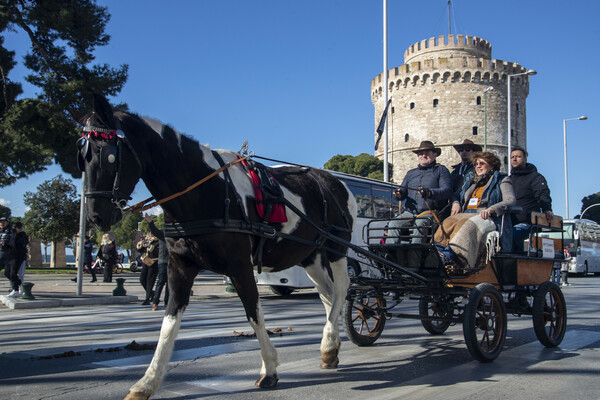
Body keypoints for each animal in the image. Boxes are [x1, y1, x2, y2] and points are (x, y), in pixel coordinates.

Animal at [76, 94, 356, 400]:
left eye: (108, 155)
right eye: (82, 158)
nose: (95, 216)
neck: (202, 191)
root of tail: (335, 182)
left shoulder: (240, 266)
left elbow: (254, 314)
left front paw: (269, 369)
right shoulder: (180, 268)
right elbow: (168, 323)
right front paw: (147, 382)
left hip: (336, 248)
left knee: (342, 288)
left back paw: (329, 341)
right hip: (311, 256)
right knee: (328, 295)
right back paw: (331, 345)